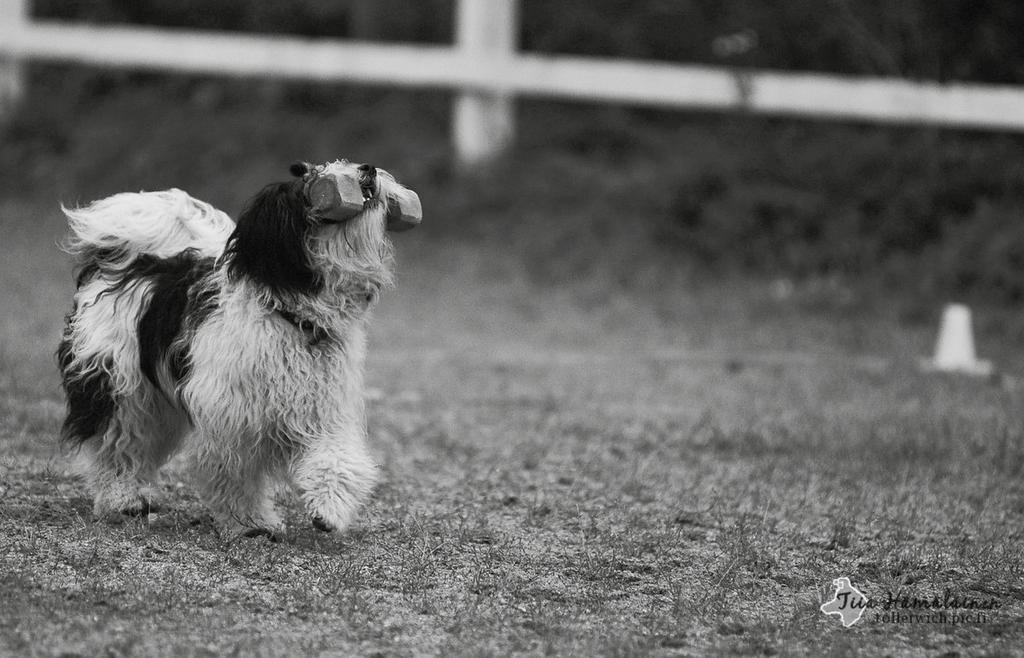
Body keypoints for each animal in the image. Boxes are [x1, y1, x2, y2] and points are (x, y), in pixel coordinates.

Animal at [56, 160, 419, 540]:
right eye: (311, 177)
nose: (368, 169)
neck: (291, 313)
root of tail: (125, 262)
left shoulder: (323, 409)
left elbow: (336, 457)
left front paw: (329, 509)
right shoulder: (233, 419)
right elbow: (235, 474)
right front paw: (251, 522)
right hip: (118, 384)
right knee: (116, 442)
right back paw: (122, 498)